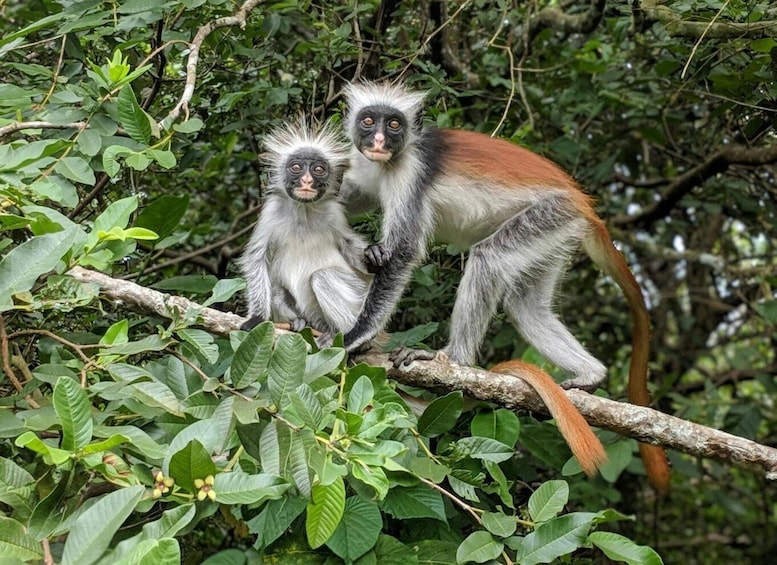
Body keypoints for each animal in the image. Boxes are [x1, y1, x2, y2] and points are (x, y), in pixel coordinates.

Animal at [237, 120, 372, 335]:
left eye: (318, 169)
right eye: (296, 167)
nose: (307, 181)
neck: (303, 211)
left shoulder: (335, 213)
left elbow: (349, 245)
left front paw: (374, 257)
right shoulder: (271, 212)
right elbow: (257, 259)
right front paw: (257, 317)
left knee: (323, 276)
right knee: (277, 289)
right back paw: (299, 322)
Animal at [338, 81, 670, 493]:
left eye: (394, 124)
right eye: (369, 121)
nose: (380, 140)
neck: (390, 159)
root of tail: (583, 203)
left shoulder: (410, 173)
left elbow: (402, 253)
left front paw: (355, 336)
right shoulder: (368, 166)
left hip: (549, 215)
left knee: (488, 258)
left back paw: (454, 360)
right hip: (558, 234)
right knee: (527, 307)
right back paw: (591, 374)